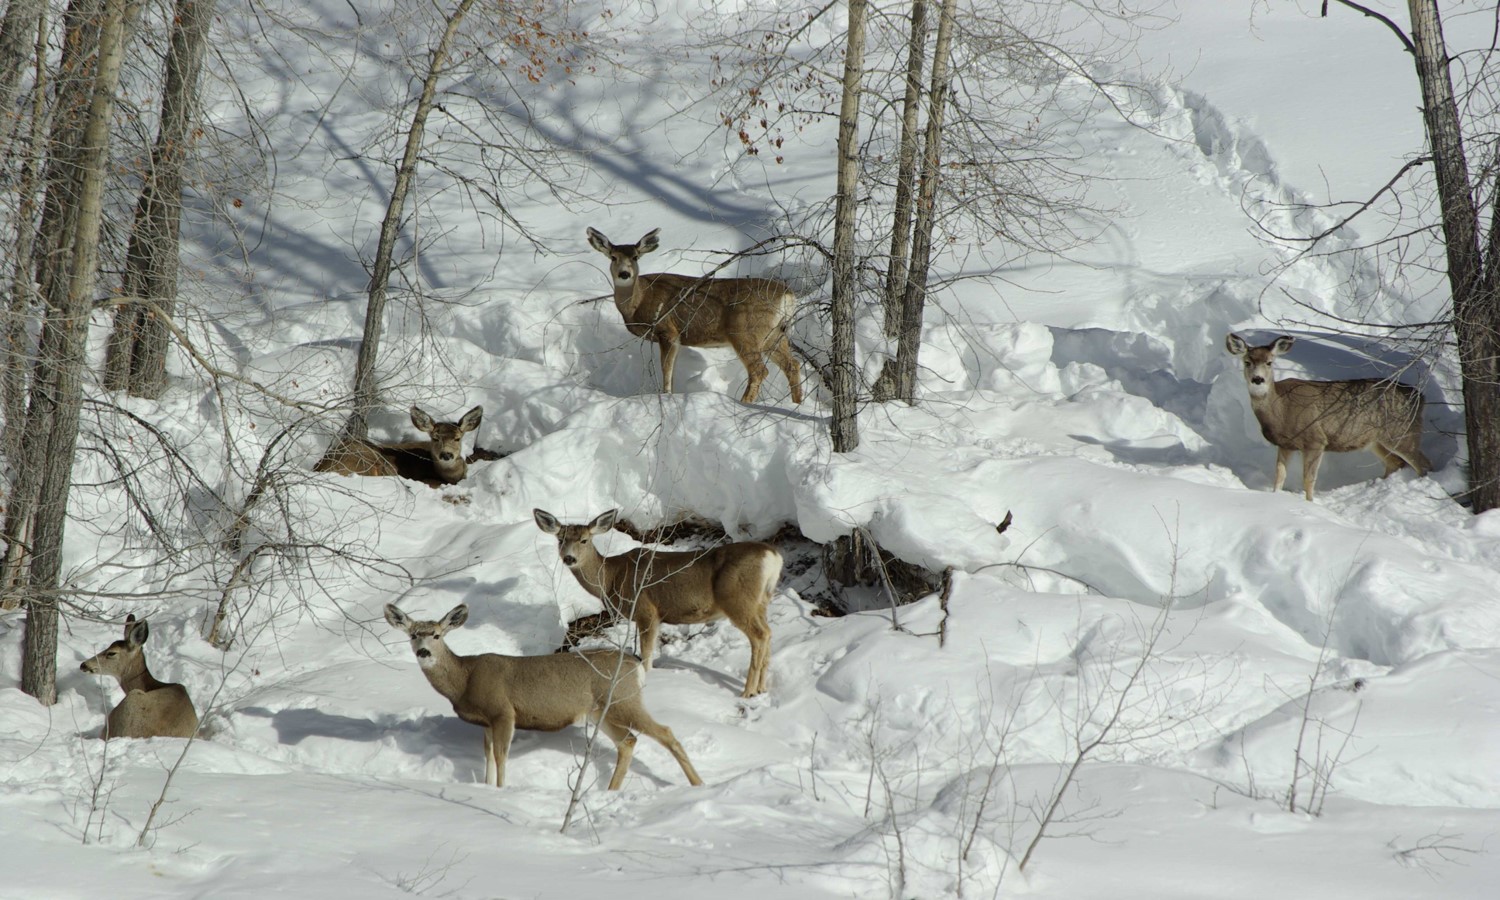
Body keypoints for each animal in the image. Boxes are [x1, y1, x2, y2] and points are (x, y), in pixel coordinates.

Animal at [393, 606, 708, 786]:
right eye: (412, 635)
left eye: (436, 635)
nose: (424, 652)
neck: (465, 678)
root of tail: (636, 664)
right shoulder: (487, 722)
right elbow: (488, 757)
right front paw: (486, 788)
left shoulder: (503, 711)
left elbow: (501, 756)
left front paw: (501, 792)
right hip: (601, 711)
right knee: (628, 741)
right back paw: (610, 791)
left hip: (624, 701)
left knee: (665, 733)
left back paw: (698, 784)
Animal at [531, 510, 786, 699]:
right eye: (560, 540)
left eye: (584, 540)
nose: (569, 558)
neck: (611, 578)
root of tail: (773, 556)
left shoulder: (647, 610)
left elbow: (646, 657)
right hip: (761, 601)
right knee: (769, 632)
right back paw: (762, 688)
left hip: (738, 600)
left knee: (760, 635)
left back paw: (748, 692)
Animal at [582, 226, 804, 405]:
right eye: (613, 257)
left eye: (636, 256)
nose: (624, 274)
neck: (640, 299)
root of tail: (788, 295)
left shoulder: (668, 330)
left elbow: (667, 371)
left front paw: (666, 395)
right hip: (775, 334)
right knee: (792, 365)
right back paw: (796, 404)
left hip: (745, 330)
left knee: (759, 370)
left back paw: (745, 404)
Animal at [1218, 331, 1428, 504]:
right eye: (1247, 362)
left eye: (1269, 362)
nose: (1258, 379)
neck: (1281, 409)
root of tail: (1420, 397)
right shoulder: (1286, 444)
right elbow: (1279, 476)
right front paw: (1275, 497)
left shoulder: (1315, 440)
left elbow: (1308, 479)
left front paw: (1309, 503)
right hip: (1376, 440)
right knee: (1395, 463)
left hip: (1403, 432)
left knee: (1423, 464)